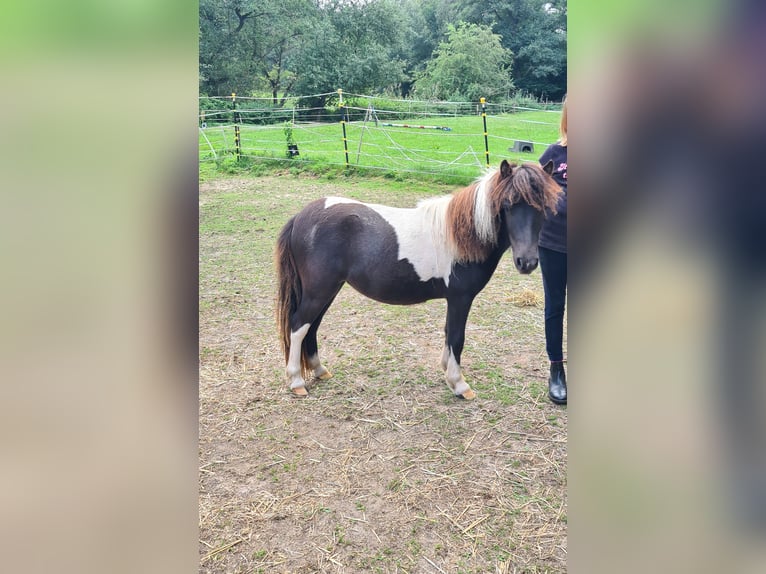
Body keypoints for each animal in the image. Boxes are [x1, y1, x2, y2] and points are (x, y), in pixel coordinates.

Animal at [272, 159, 560, 400]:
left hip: (326, 291)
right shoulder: (460, 298)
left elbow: (448, 334)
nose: (527, 262)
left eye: (543, 208)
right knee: (298, 326)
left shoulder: (454, 300)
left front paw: (447, 372)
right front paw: (459, 384)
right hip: (319, 290)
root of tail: (301, 217)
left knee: (311, 326)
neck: (463, 235)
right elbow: (457, 337)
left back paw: (320, 370)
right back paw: (296, 381)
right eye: (508, 205)